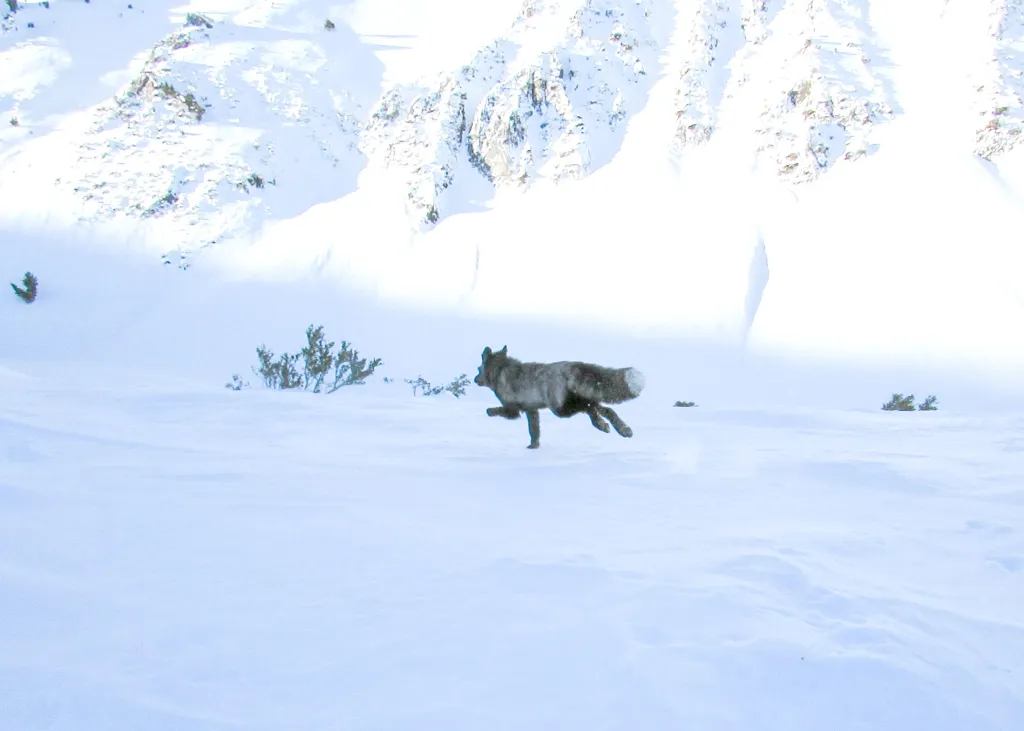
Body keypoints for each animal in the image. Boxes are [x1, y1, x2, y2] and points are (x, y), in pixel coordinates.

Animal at [473, 345, 646, 449]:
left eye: (478, 369)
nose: (475, 380)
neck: (500, 371)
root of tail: (570, 366)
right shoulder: (532, 410)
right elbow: (534, 431)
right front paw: (533, 447)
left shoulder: (513, 409)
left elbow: (494, 410)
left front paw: (489, 412)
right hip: (574, 400)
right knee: (604, 408)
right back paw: (621, 429)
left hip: (561, 409)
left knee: (591, 408)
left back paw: (604, 425)